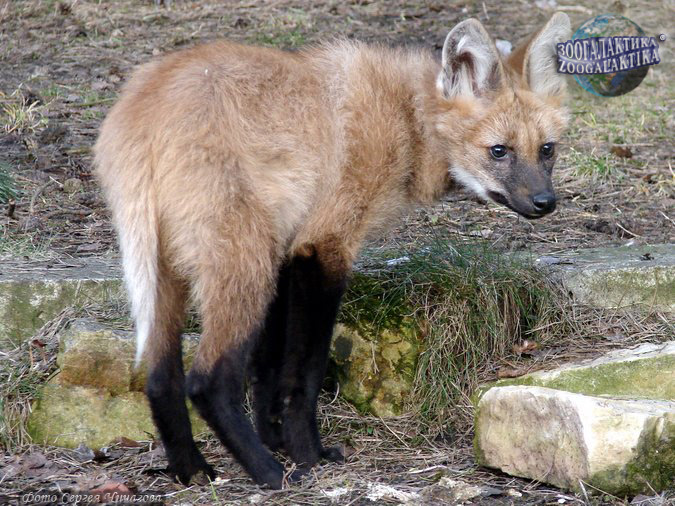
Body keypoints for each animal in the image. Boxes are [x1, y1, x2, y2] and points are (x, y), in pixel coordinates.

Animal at [94, 13, 571, 489]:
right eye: (499, 151)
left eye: (547, 149)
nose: (545, 203)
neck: (407, 119)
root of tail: (142, 106)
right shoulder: (324, 248)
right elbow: (304, 372)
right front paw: (306, 456)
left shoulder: (289, 252)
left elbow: (269, 368)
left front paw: (279, 440)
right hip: (244, 264)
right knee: (206, 381)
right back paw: (268, 474)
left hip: (175, 270)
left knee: (158, 379)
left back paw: (191, 471)